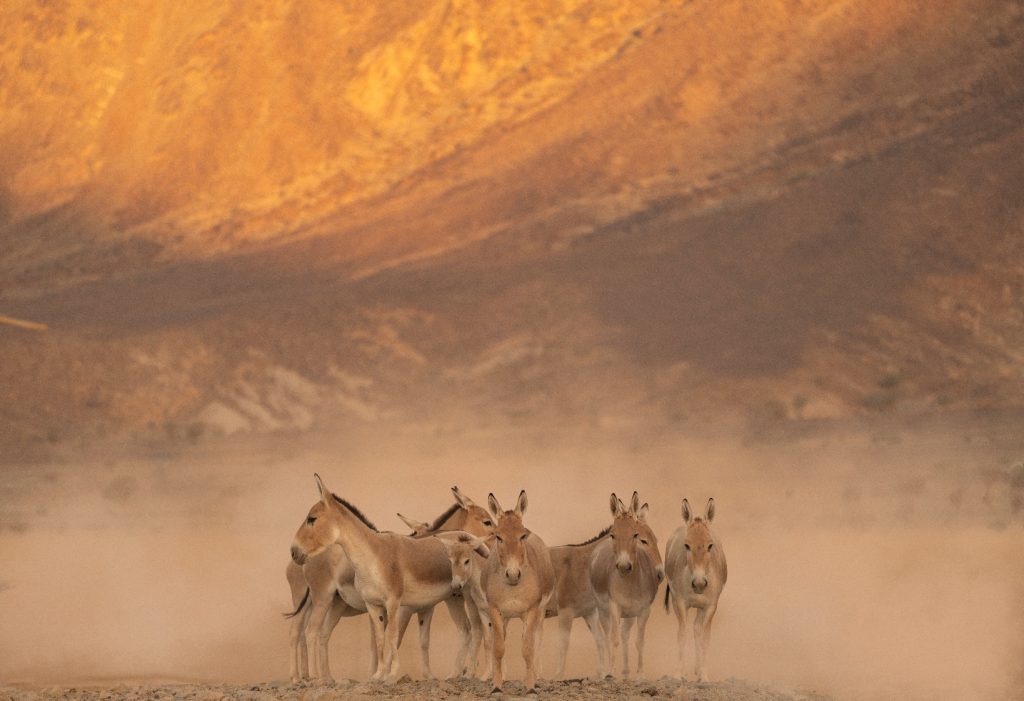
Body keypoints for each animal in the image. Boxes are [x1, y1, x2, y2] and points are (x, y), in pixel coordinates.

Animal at [481, 489, 557, 691]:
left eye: (522, 536)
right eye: (498, 537)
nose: (513, 575)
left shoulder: (532, 610)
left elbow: (528, 649)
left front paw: (530, 686)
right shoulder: (495, 610)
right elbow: (499, 648)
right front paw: (496, 685)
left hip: (539, 612)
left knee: (536, 639)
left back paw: (536, 676)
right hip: (507, 617)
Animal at [589, 491, 667, 679]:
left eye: (635, 535)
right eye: (613, 535)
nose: (624, 566)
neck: (630, 583)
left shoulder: (643, 610)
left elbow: (639, 641)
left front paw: (640, 674)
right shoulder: (614, 606)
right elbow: (614, 639)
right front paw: (611, 673)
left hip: (630, 613)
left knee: (625, 634)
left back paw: (625, 673)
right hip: (603, 610)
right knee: (608, 636)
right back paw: (608, 672)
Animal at [663, 495, 729, 679]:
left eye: (710, 545)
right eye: (686, 545)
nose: (699, 583)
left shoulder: (710, 606)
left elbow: (705, 638)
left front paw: (704, 674)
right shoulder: (679, 603)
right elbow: (681, 634)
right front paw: (678, 673)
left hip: (701, 608)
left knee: (697, 629)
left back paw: (698, 669)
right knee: (691, 629)